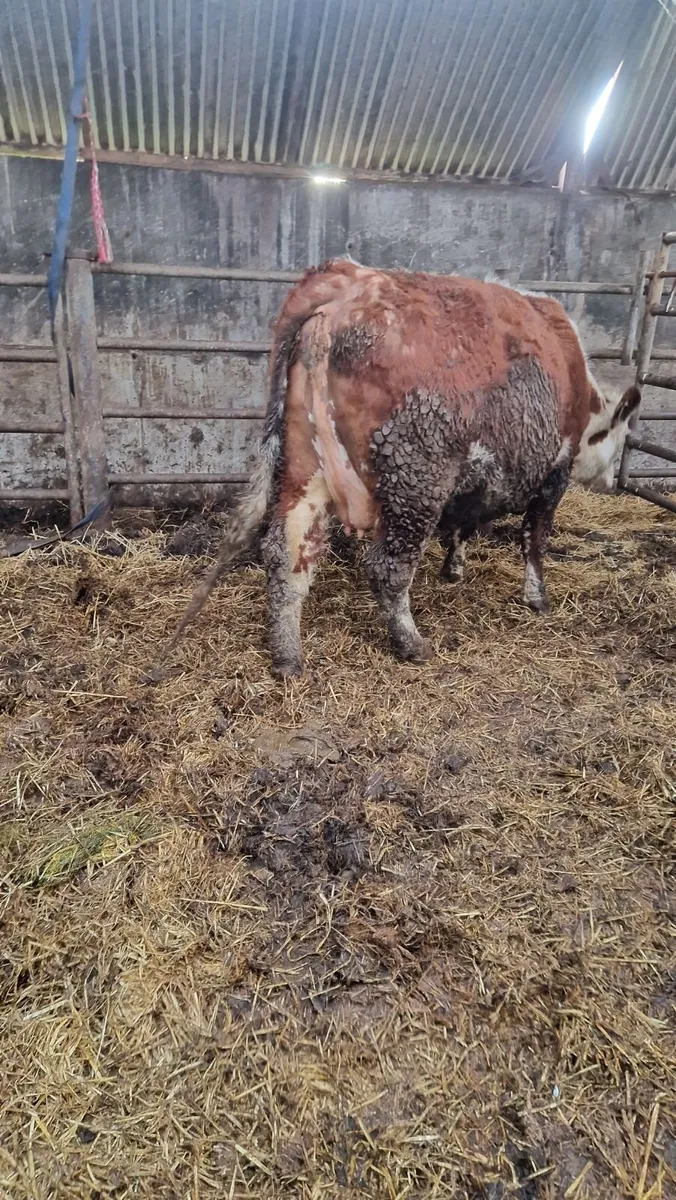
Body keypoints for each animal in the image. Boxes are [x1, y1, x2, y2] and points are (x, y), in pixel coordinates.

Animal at [166, 260, 640, 677]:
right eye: (620, 436)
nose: (611, 482)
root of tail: (349, 280)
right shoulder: (554, 472)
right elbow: (534, 539)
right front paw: (536, 597)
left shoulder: (474, 480)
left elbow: (463, 525)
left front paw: (454, 568)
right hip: (415, 480)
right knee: (387, 568)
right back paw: (411, 643)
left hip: (305, 471)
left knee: (288, 554)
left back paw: (287, 657)